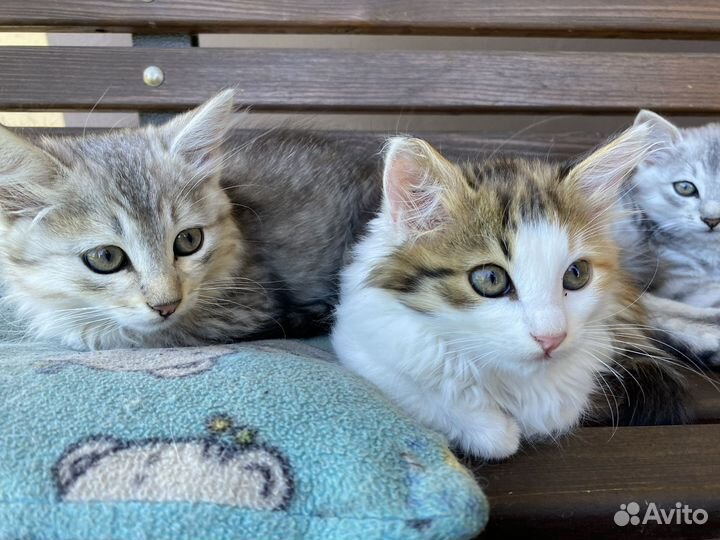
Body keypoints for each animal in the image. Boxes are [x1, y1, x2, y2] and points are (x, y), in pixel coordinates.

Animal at [332, 127, 688, 460]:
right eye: (490, 279)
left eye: (576, 275)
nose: (551, 339)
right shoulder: (359, 341)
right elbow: (421, 395)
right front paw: (493, 429)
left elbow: (561, 410)